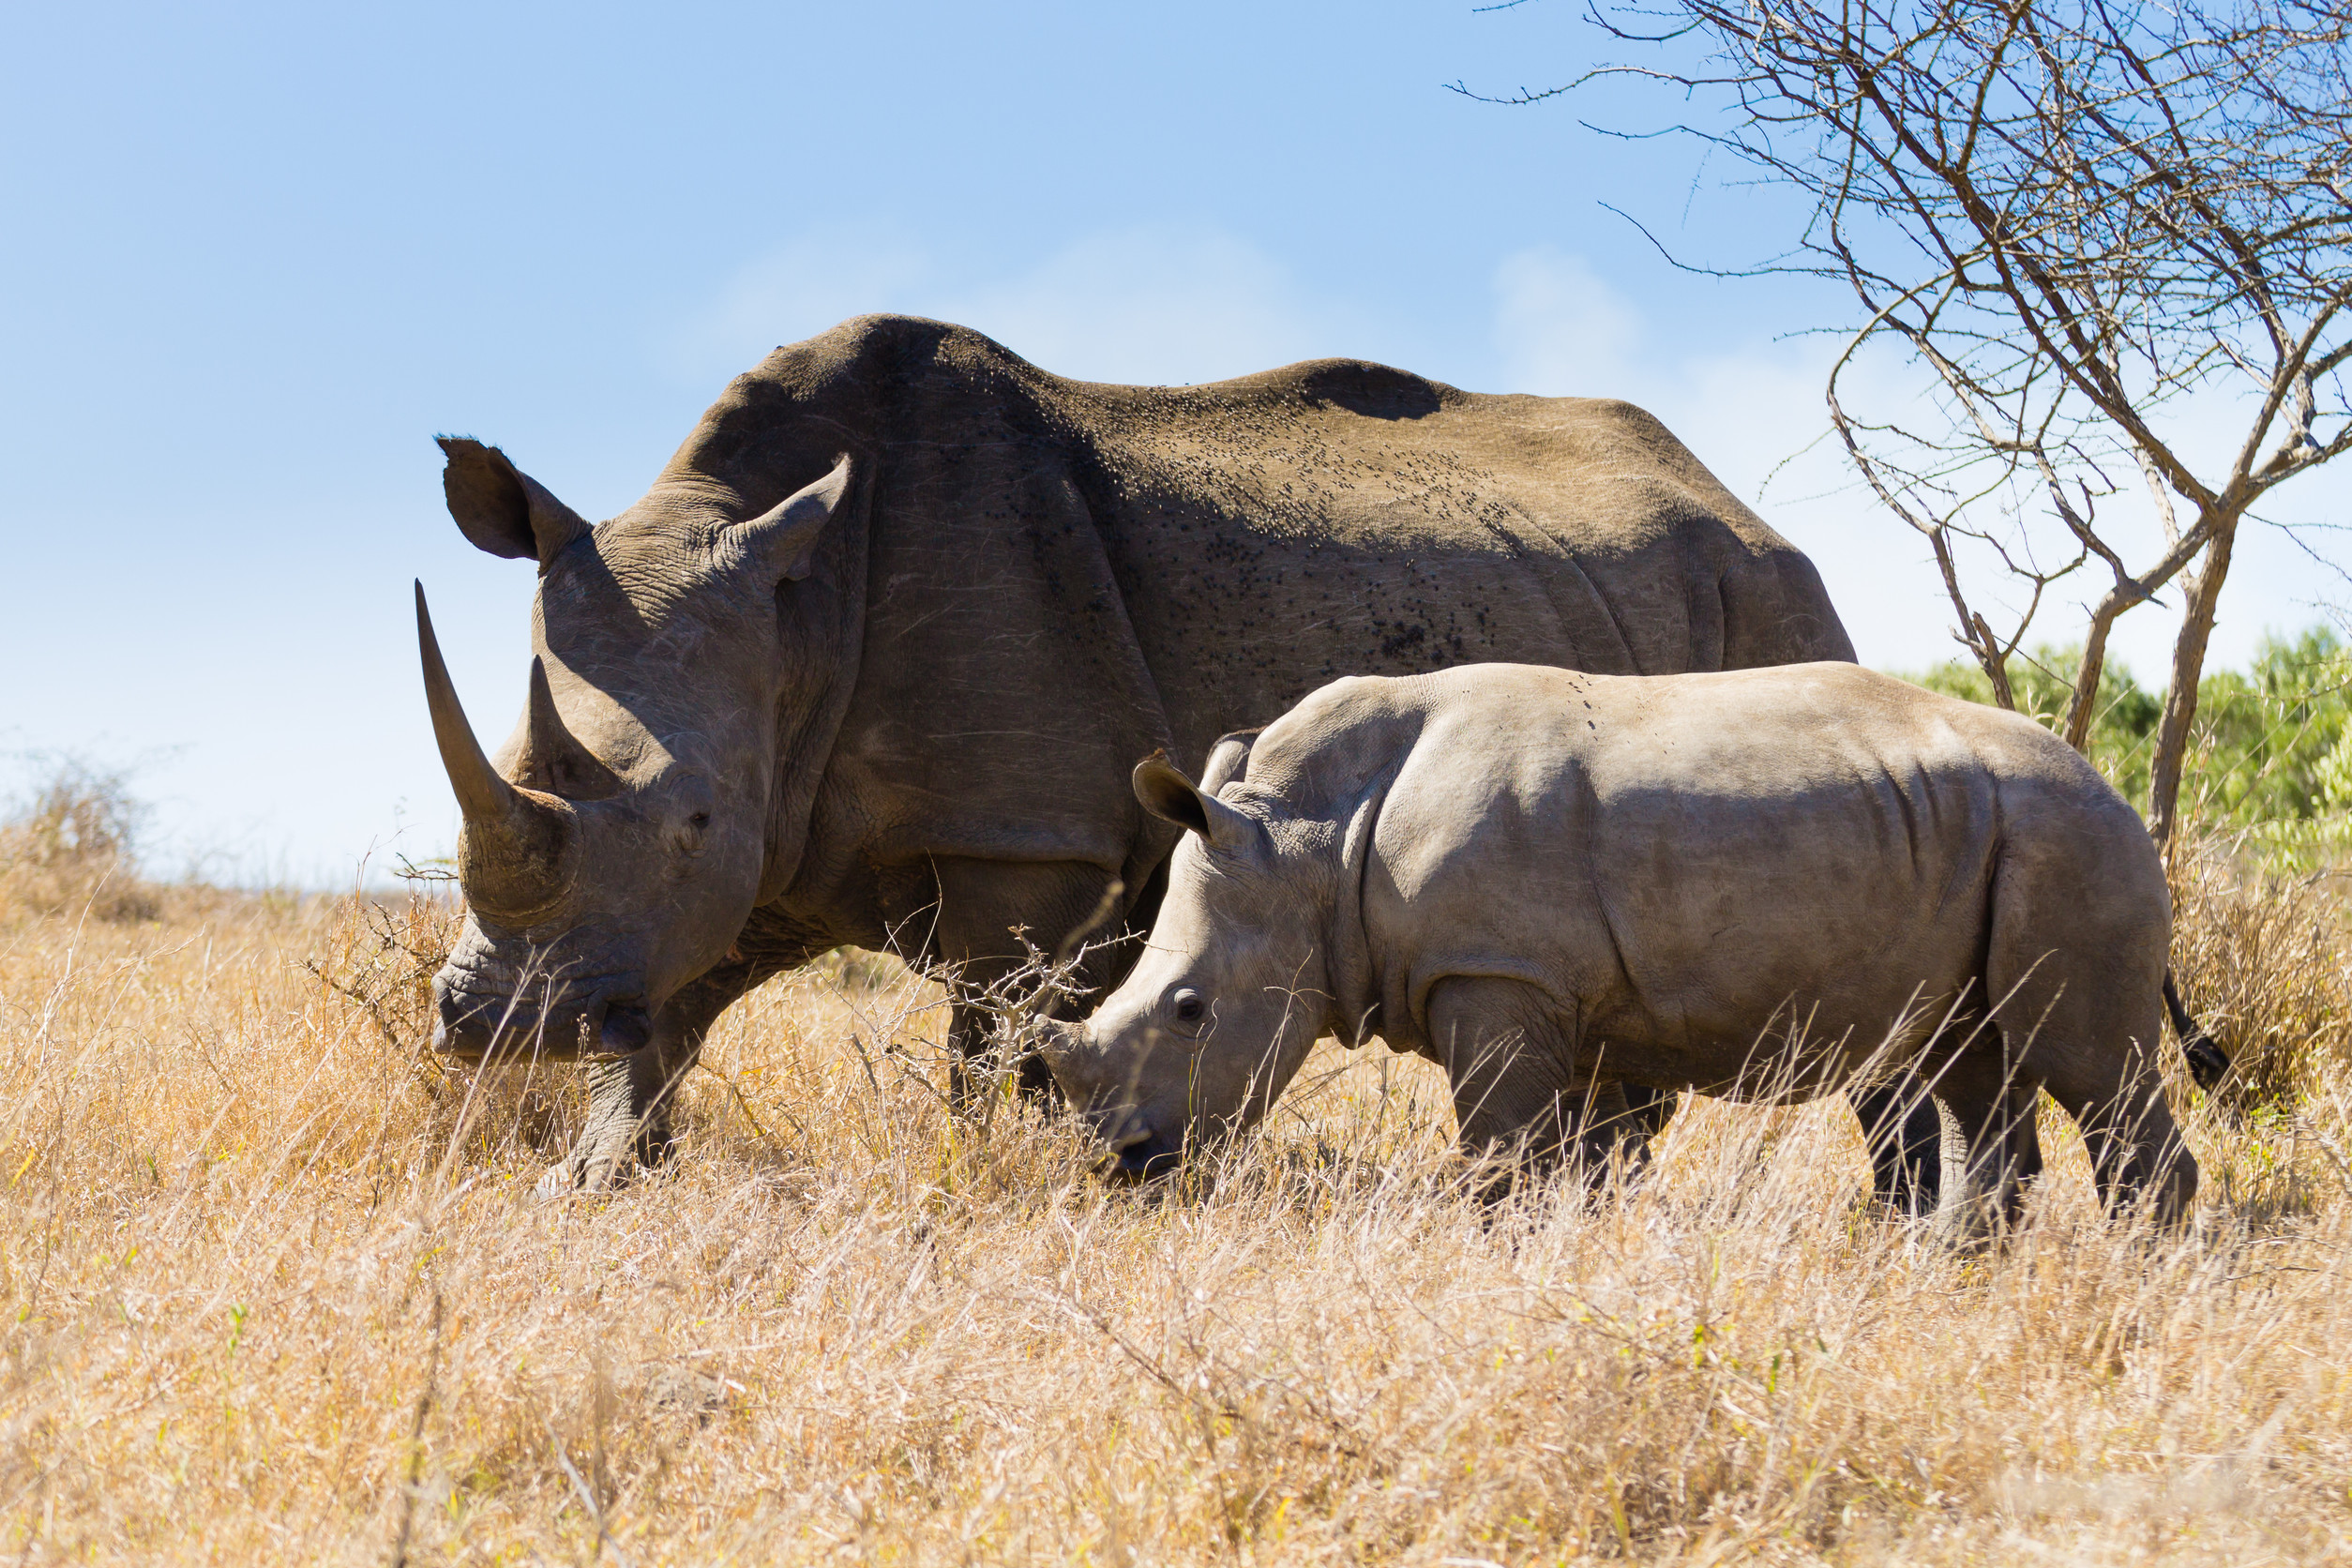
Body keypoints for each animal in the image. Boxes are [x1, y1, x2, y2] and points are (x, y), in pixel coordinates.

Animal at [1048, 662, 2201, 1222]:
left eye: (1190, 1012)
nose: (1120, 1160)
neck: (1307, 840)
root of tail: (2112, 789)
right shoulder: (1567, 999)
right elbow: (1581, 1165)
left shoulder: (1496, 974)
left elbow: (1504, 1158)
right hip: (1991, 836)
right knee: (1971, 1066)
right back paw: (1948, 1277)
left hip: (2069, 840)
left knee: (2089, 1067)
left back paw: (2138, 1284)